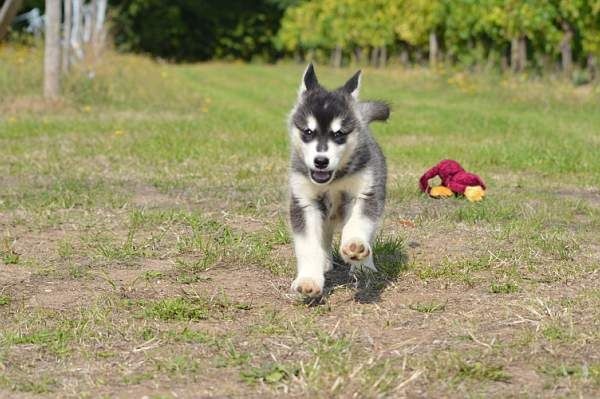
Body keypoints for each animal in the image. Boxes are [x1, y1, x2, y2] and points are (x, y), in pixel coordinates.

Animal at [288, 65, 390, 296]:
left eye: (339, 134)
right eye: (308, 131)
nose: (321, 161)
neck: (332, 182)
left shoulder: (364, 194)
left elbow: (358, 223)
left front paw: (355, 246)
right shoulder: (304, 203)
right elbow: (308, 246)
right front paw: (309, 279)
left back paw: (364, 266)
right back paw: (325, 262)